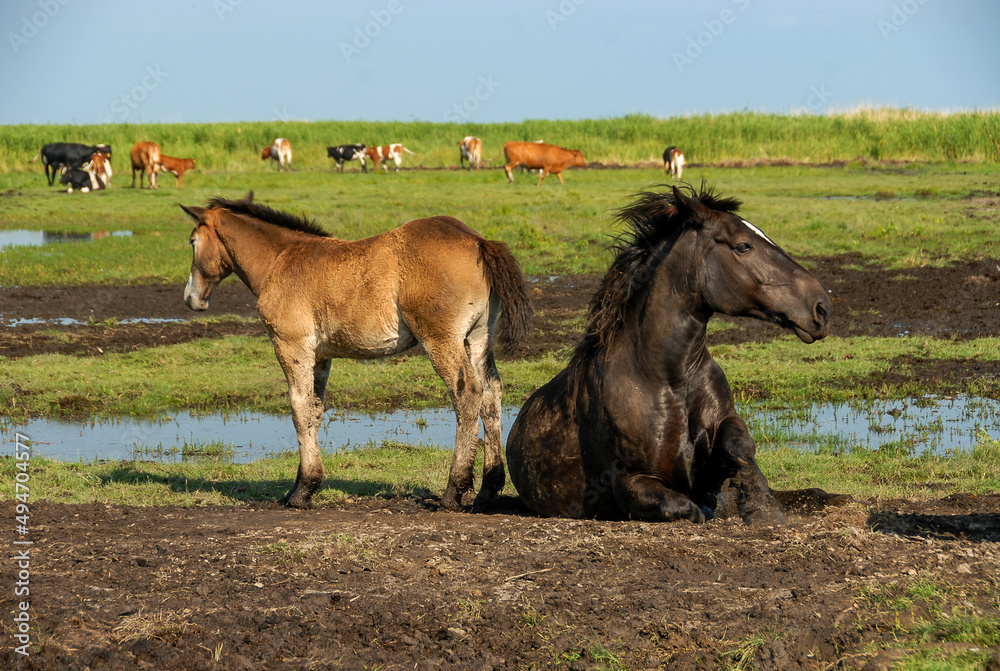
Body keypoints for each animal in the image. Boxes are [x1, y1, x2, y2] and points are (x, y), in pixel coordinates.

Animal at [180, 193, 532, 510]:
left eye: (193, 241)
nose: (191, 298)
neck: (281, 260)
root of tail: (479, 241)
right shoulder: (320, 357)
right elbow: (315, 409)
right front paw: (303, 484)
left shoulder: (291, 346)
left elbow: (298, 408)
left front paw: (302, 492)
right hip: (478, 339)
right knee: (491, 394)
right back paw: (488, 489)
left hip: (441, 340)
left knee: (467, 394)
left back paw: (453, 492)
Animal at [506, 184, 832, 524]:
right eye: (743, 246)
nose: (822, 307)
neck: (669, 379)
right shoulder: (631, 483)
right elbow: (687, 506)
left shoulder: (726, 422)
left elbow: (741, 444)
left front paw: (760, 502)